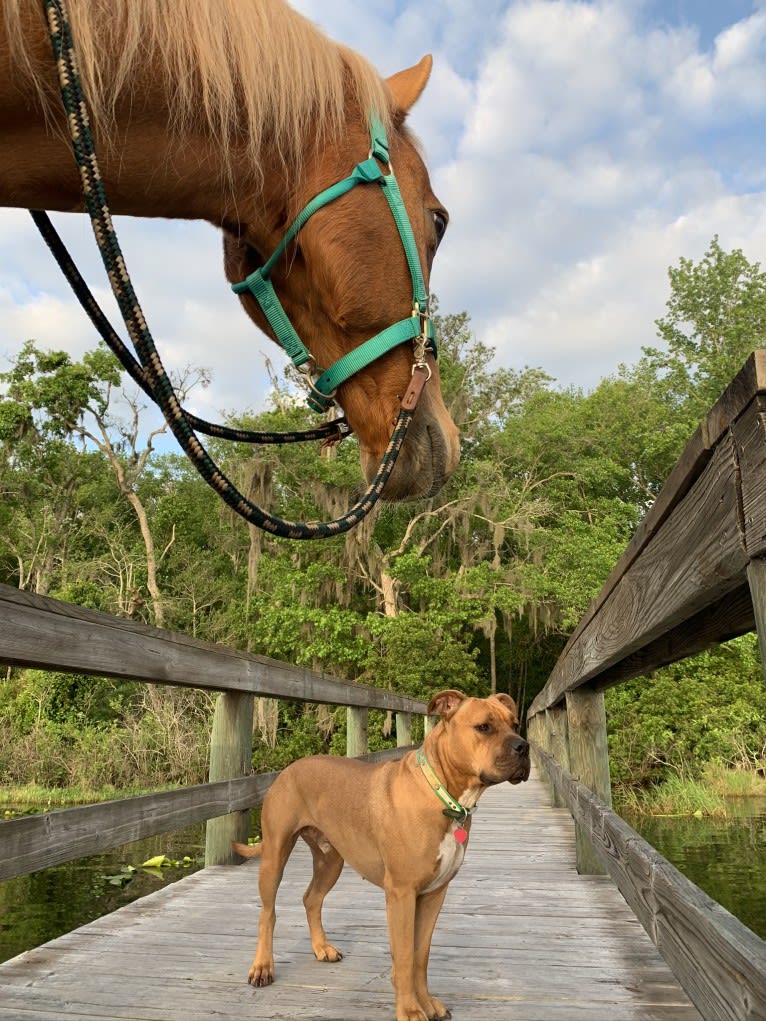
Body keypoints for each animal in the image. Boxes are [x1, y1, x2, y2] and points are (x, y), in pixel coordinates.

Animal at [236, 690, 531, 1016]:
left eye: (514, 724)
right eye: (484, 727)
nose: (524, 746)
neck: (442, 794)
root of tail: (287, 769)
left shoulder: (434, 894)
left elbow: (420, 955)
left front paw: (426, 1002)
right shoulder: (402, 893)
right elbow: (403, 956)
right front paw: (411, 1010)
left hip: (331, 860)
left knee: (311, 898)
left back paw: (322, 948)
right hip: (275, 855)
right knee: (268, 913)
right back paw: (262, 967)